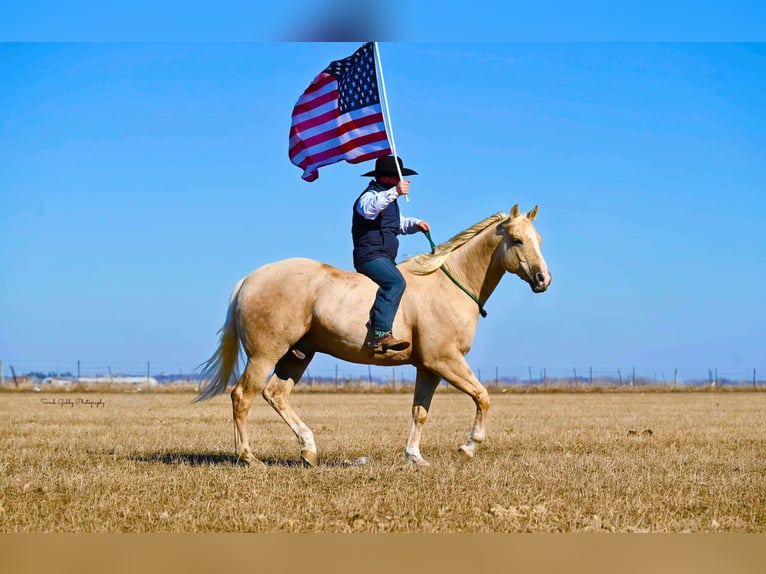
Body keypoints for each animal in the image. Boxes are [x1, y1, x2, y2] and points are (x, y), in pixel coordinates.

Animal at [195, 206, 548, 468]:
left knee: (275, 394)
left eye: (539, 240)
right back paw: (248, 457)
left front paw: (414, 457)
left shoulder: (429, 368)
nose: (544, 279)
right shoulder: (445, 360)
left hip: (298, 355)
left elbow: (420, 411)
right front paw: (468, 448)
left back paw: (308, 450)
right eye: (517, 240)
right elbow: (482, 397)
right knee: (243, 396)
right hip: (265, 355)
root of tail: (249, 279)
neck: (448, 286)